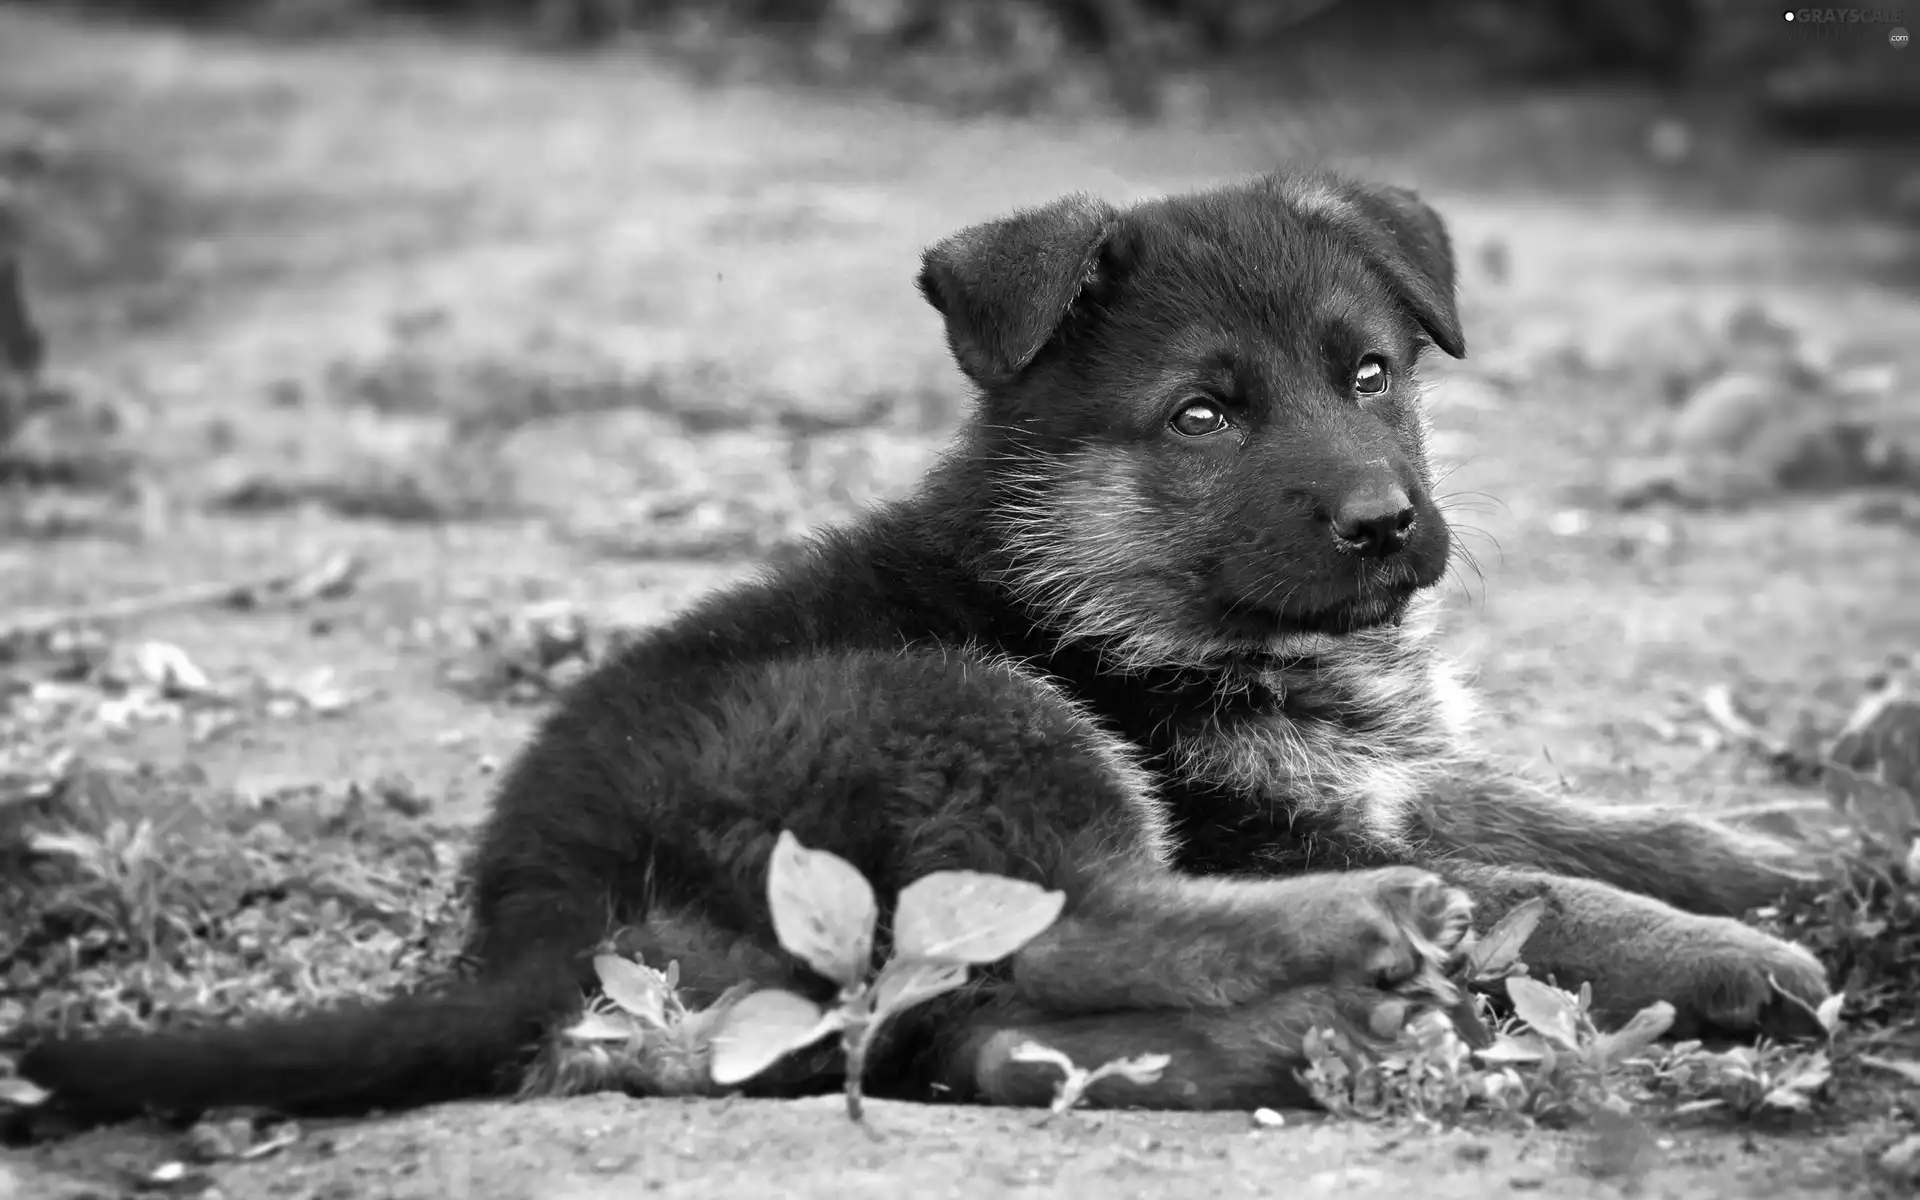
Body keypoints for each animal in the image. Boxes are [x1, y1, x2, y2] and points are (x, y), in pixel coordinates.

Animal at [22, 166, 1835, 1113]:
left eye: (1373, 372)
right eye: (1201, 415)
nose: (1389, 524)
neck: (1106, 592)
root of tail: (534, 901)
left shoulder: (1373, 768)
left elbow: (1572, 815)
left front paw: (1772, 857)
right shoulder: (1264, 811)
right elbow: (1537, 884)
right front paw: (1718, 951)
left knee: (973, 1019)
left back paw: (1287, 1036)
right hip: (953, 707)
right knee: (1075, 925)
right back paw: (1365, 944)